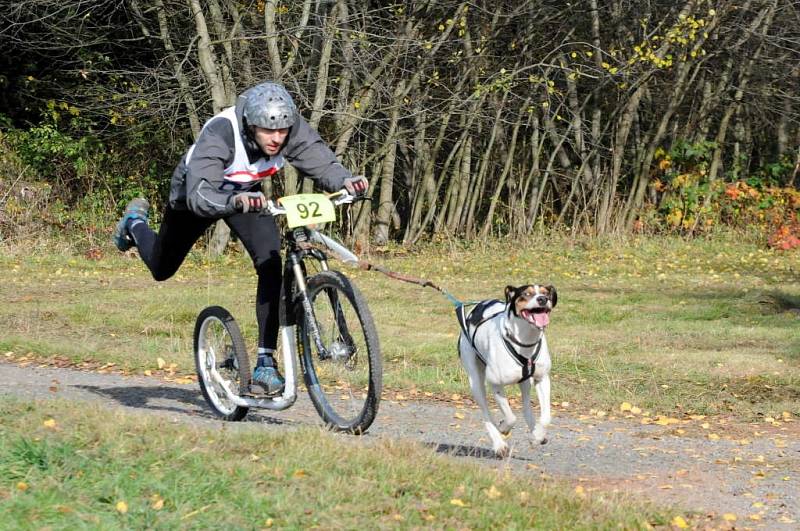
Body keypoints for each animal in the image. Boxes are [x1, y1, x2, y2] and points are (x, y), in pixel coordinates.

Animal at [456, 284, 556, 460]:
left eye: (546, 293)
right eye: (526, 294)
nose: (542, 299)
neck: (525, 341)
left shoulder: (542, 378)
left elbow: (545, 417)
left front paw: (537, 435)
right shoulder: (495, 383)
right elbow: (510, 417)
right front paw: (503, 428)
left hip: (525, 381)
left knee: (526, 407)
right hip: (475, 381)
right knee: (486, 414)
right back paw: (499, 444)